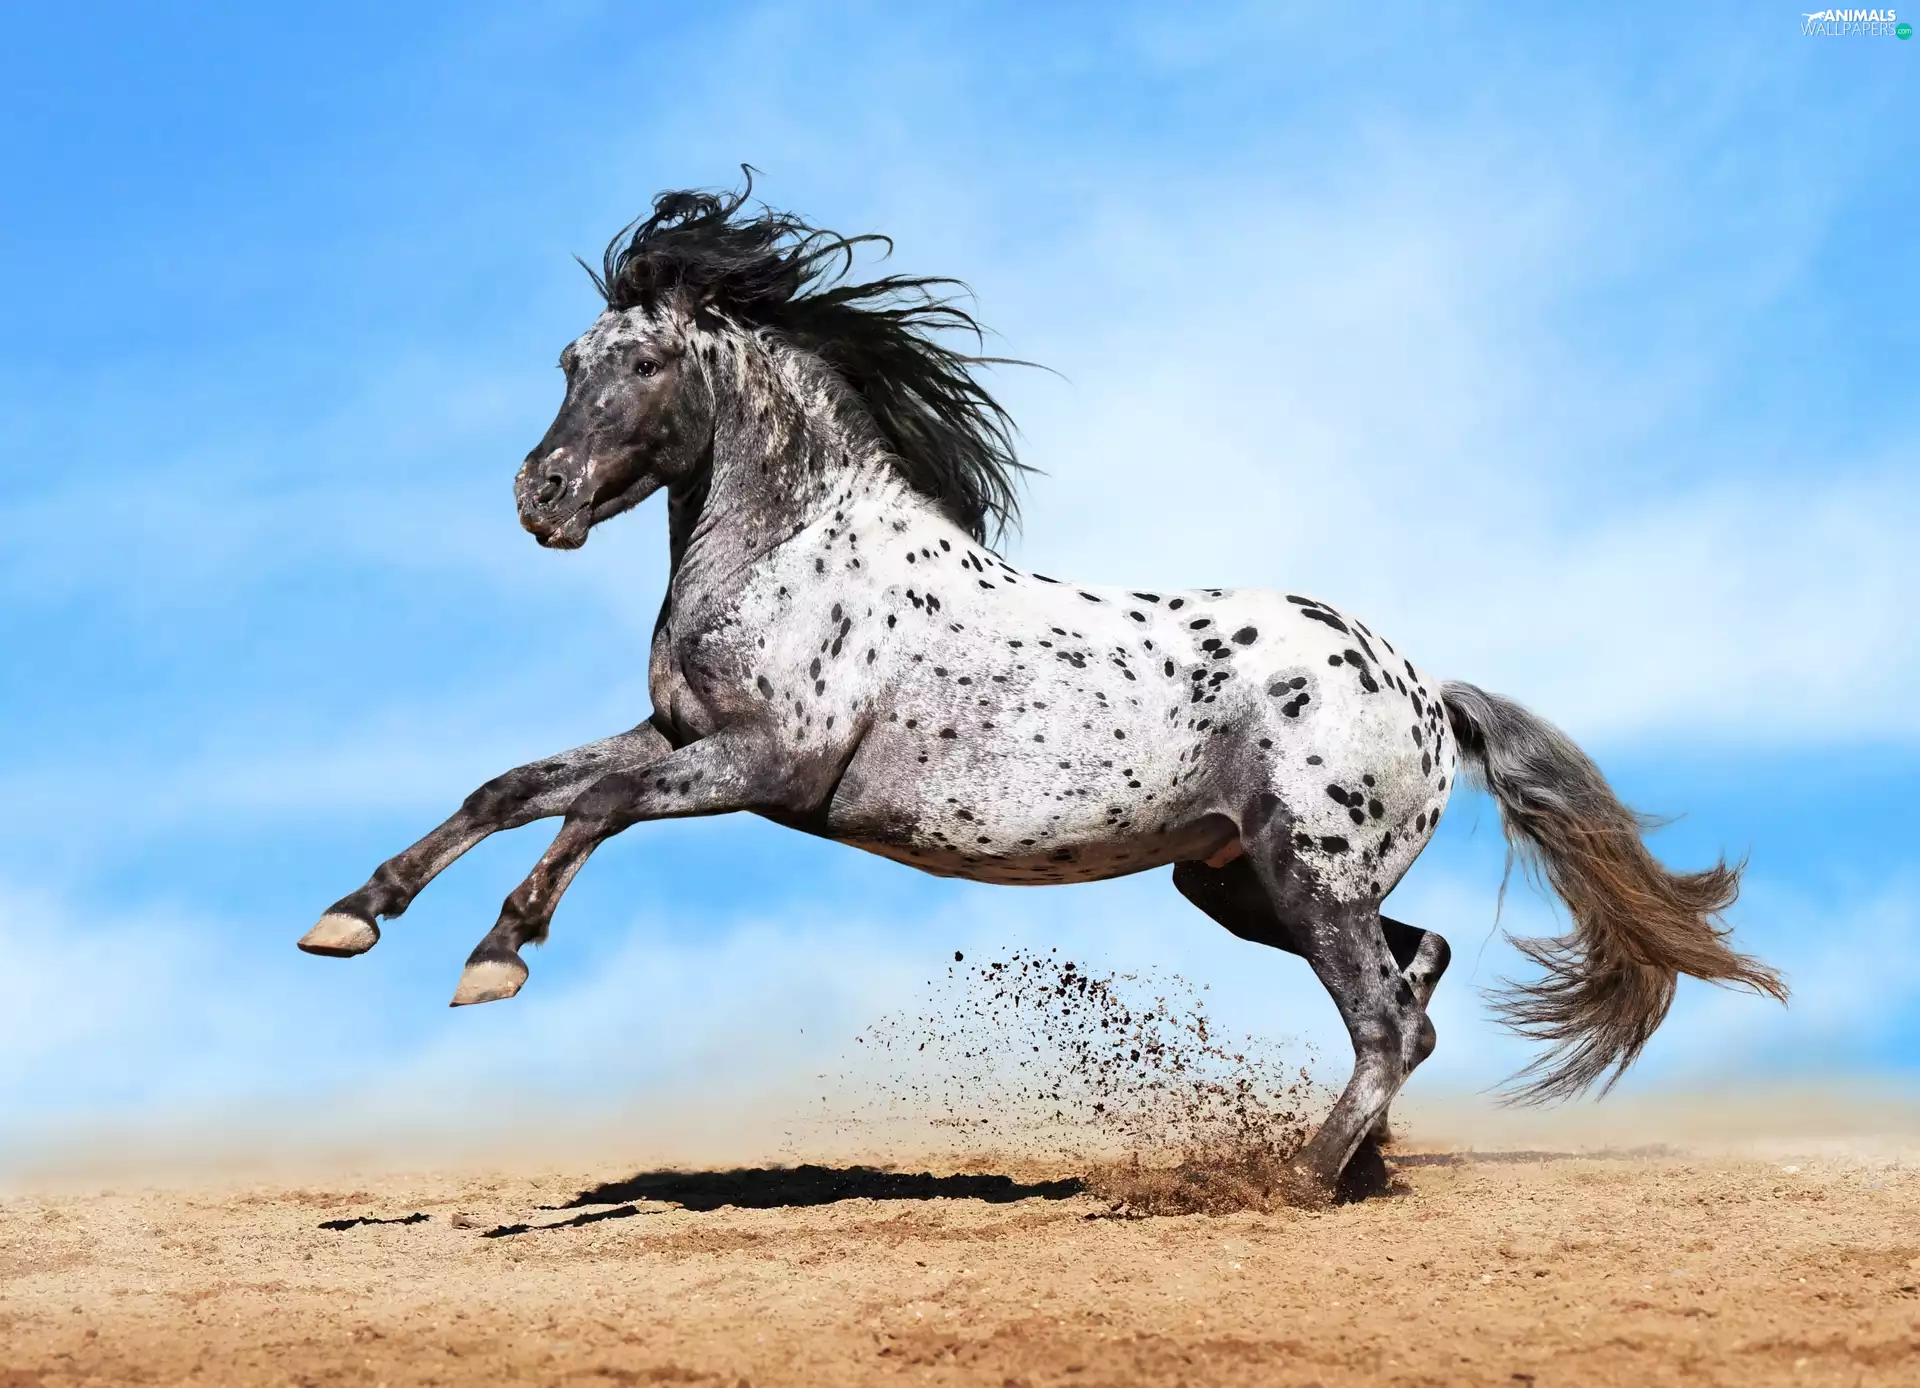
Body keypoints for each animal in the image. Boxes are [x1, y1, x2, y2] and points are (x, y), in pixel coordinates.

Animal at [298, 178, 1787, 1200]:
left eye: (648, 363)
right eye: (568, 363)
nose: (540, 499)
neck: (795, 548)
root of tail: (1425, 688)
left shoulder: (759, 768)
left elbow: (593, 807)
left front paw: (495, 959)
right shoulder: (681, 734)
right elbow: (516, 785)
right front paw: (354, 919)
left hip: (1305, 877)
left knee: (1382, 1016)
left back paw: (1297, 1181)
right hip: (1237, 880)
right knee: (1416, 982)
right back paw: (1361, 1167)